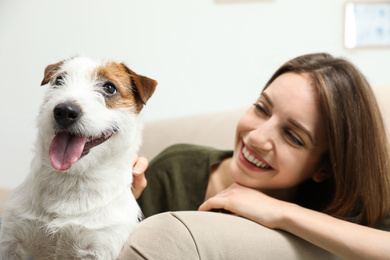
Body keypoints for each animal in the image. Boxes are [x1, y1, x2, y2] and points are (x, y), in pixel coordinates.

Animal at [0, 57, 156, 260]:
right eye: (59, 80)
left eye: (110, 87)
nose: (65, 111)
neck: (71, 180)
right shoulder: (11, 242)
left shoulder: (101, 248)